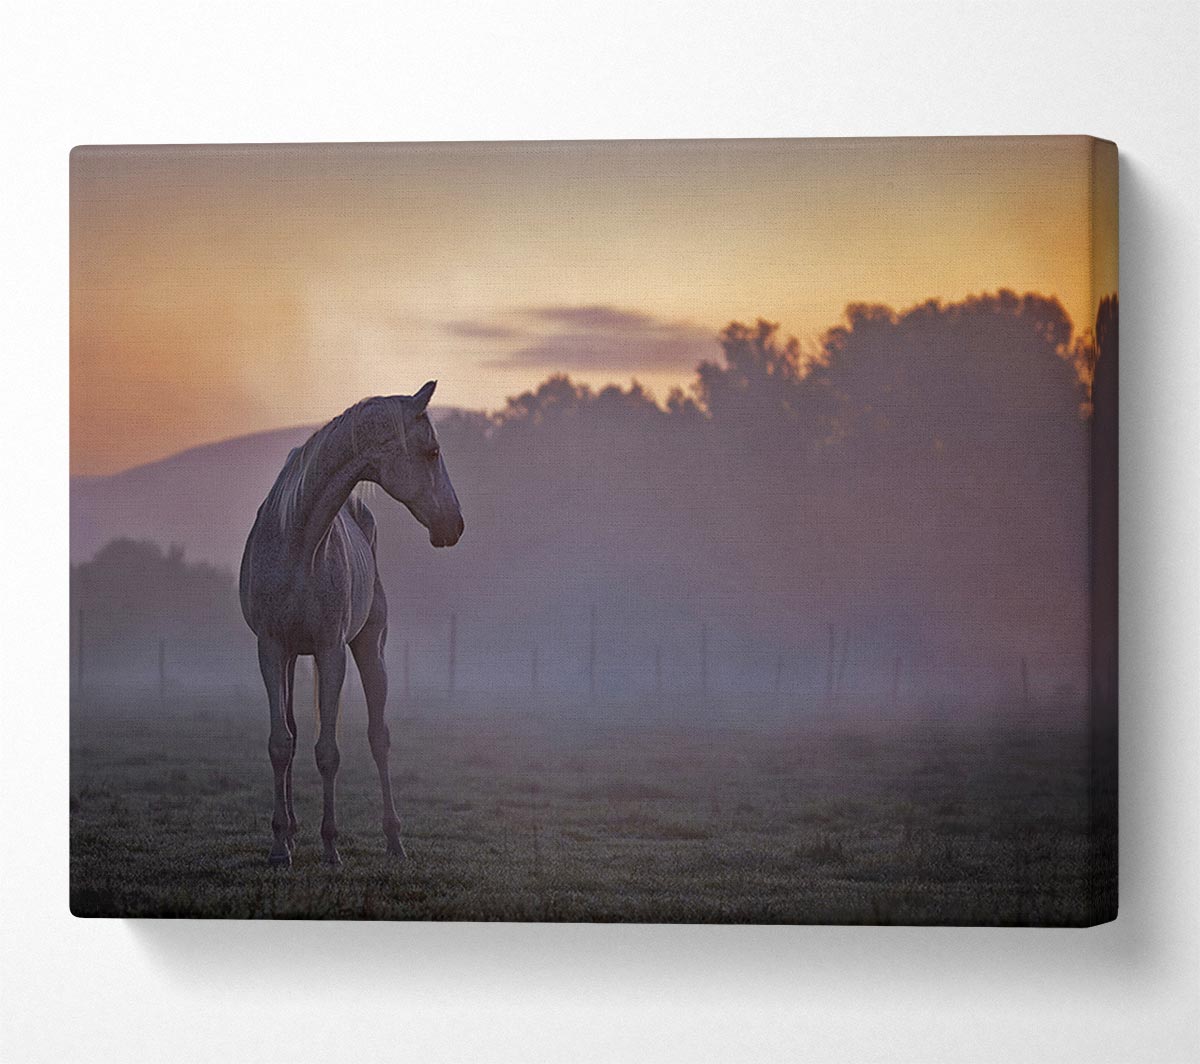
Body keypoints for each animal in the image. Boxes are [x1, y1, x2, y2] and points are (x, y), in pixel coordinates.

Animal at [239, 381, 464, 866]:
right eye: (432, 451)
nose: (454, 525)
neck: (298, 538)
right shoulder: (271, 648)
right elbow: (281, 743)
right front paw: (279, 845)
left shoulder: (330, 650)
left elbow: (329, 752)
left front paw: (330, 846)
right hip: (293, 658)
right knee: (293, 733)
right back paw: (292, 832)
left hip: (367, 649)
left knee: (379, 738)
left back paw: (394, 841)